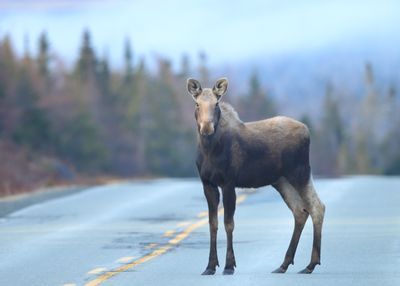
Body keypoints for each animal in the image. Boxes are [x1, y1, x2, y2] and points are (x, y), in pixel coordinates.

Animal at [188, 77, 324, 274]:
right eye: (197, 104)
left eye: (216, 103)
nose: (207, 127)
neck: (209, 150)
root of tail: (308, 130)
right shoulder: (208, 184)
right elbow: (213, 224)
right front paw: (210, 266)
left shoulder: (229, 182)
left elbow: (229, 223)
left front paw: (229, 265)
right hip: (282, 181)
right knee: (300, 211)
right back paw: (284, 264)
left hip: (300, 173)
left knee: (317, 207)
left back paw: (311, 264)